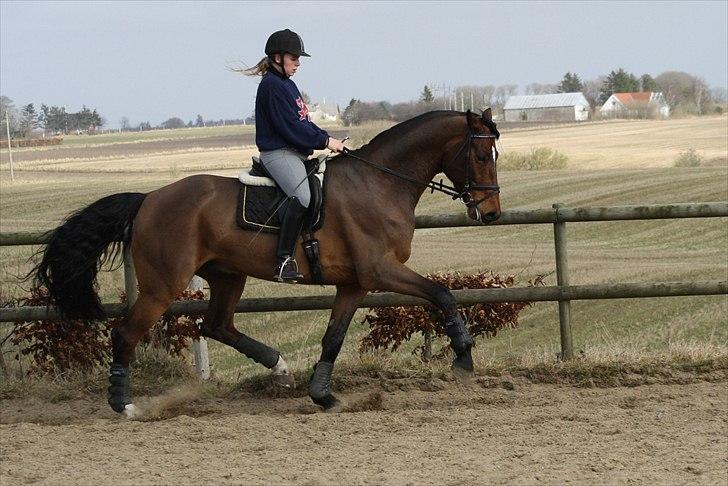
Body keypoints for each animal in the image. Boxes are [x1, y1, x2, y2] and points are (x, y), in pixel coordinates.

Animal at [32, 108, 500, 416]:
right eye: (481, 156)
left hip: (227, 276)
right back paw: (124, 404)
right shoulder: (380, 271)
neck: (379, 182)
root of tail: (148, 199)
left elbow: (333, 338)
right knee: (127, 332)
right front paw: (463, 359)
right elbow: (442, 293)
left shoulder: (354, 283)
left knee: (217, 326)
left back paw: (279, 366)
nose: (492, 213)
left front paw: (323, 395)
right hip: (163, 285)